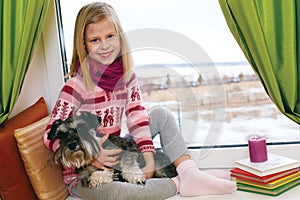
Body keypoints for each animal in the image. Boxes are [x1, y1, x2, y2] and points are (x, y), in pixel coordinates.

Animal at [47, 111, 177, 188]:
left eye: (82, 128)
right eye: (61, 135)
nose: (72, 145)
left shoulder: (126, 149)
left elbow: (128, 164)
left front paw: (136, 177)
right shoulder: (84, 176)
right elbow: (93, 176)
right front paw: (111, 175)